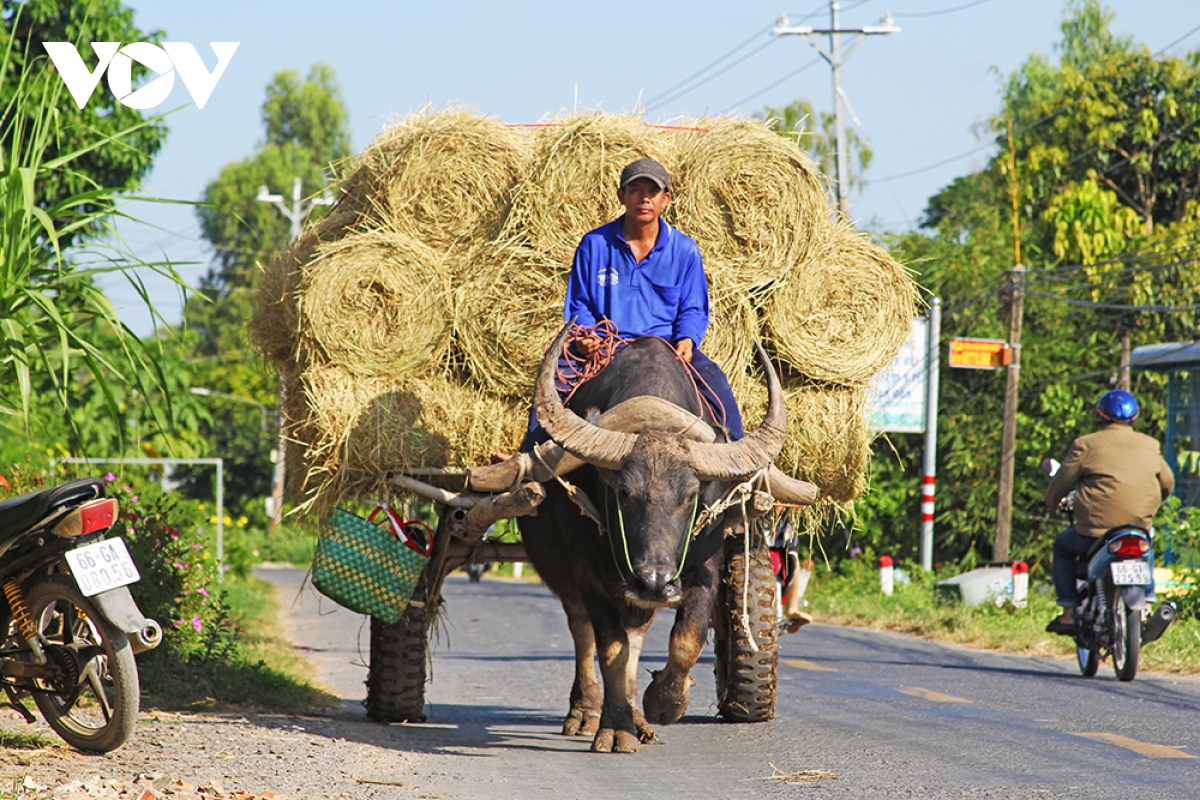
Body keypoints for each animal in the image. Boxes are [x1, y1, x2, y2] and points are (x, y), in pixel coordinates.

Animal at [516, 321, 787, 753]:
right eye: (624, 492)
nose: (654, 581)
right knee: (582, 631)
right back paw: (586, 712)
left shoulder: (704, 566)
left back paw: (641, 719)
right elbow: (610, 647)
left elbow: (687, 638)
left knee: (637, 635)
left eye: (691, 495)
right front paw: (615, 728)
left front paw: (663, 703)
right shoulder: (589, 574)